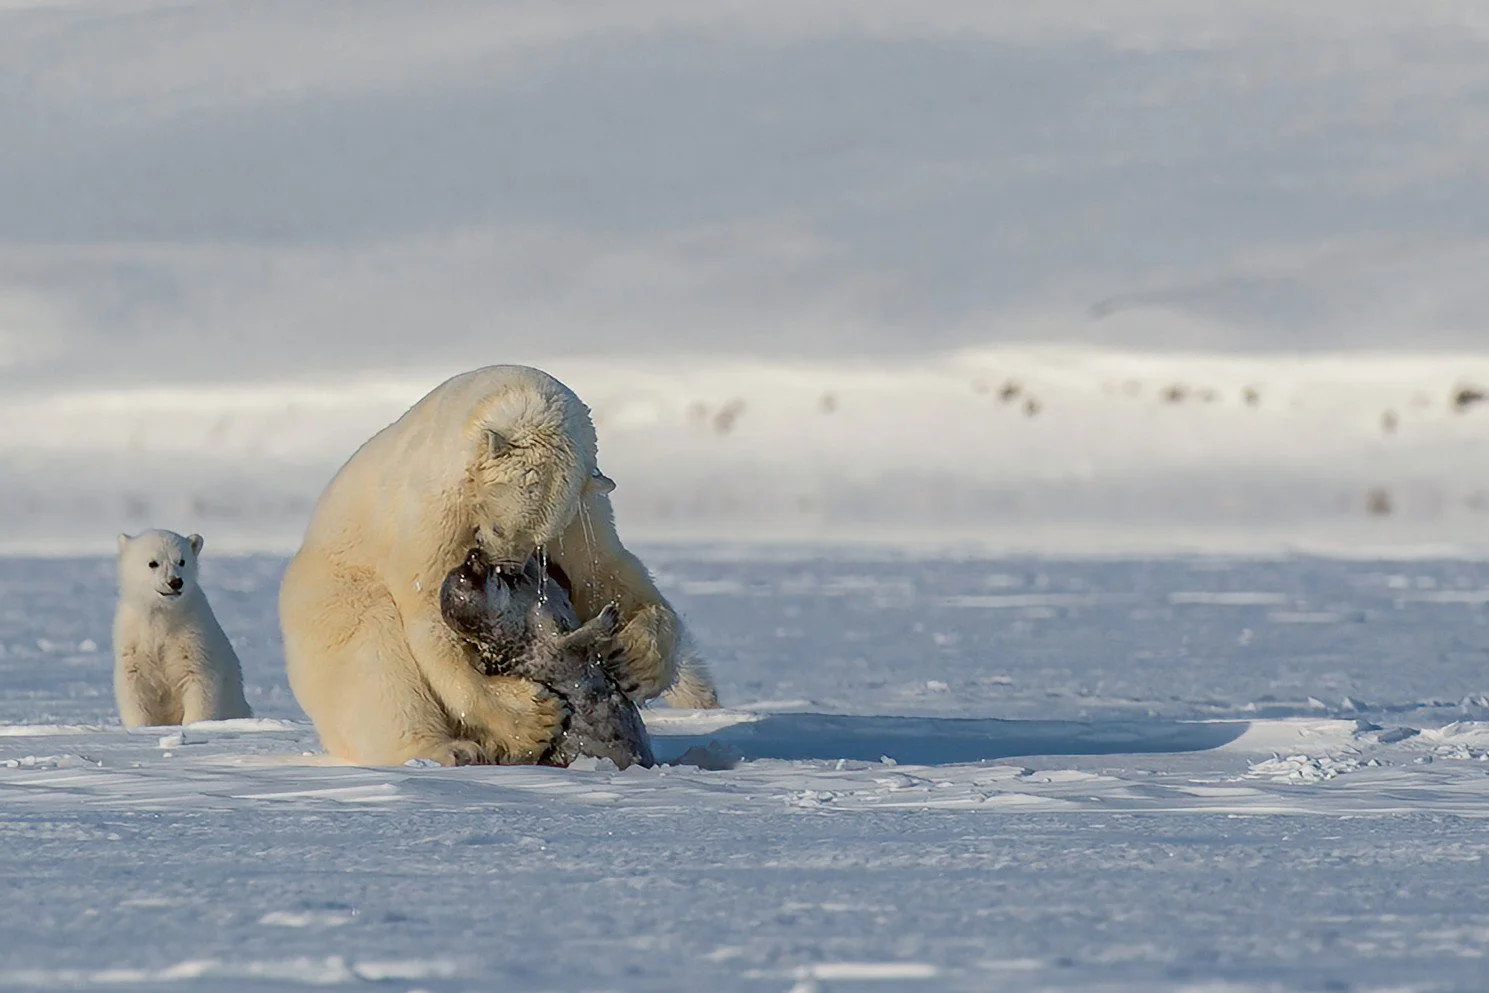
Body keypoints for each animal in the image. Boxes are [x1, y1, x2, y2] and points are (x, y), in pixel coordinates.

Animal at [112, 529, 254, 728]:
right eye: (153, 563)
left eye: (182, 561)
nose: (175, 582)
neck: (163, 616)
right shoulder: (132, 639)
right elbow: (134, 687)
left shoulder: (193, 637)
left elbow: (199, 681)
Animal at [439, 547, 656, 771]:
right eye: (470, 574)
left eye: (462, 567)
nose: (473, 553)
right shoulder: (550, 654)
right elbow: (575, 643)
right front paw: (608, 617)